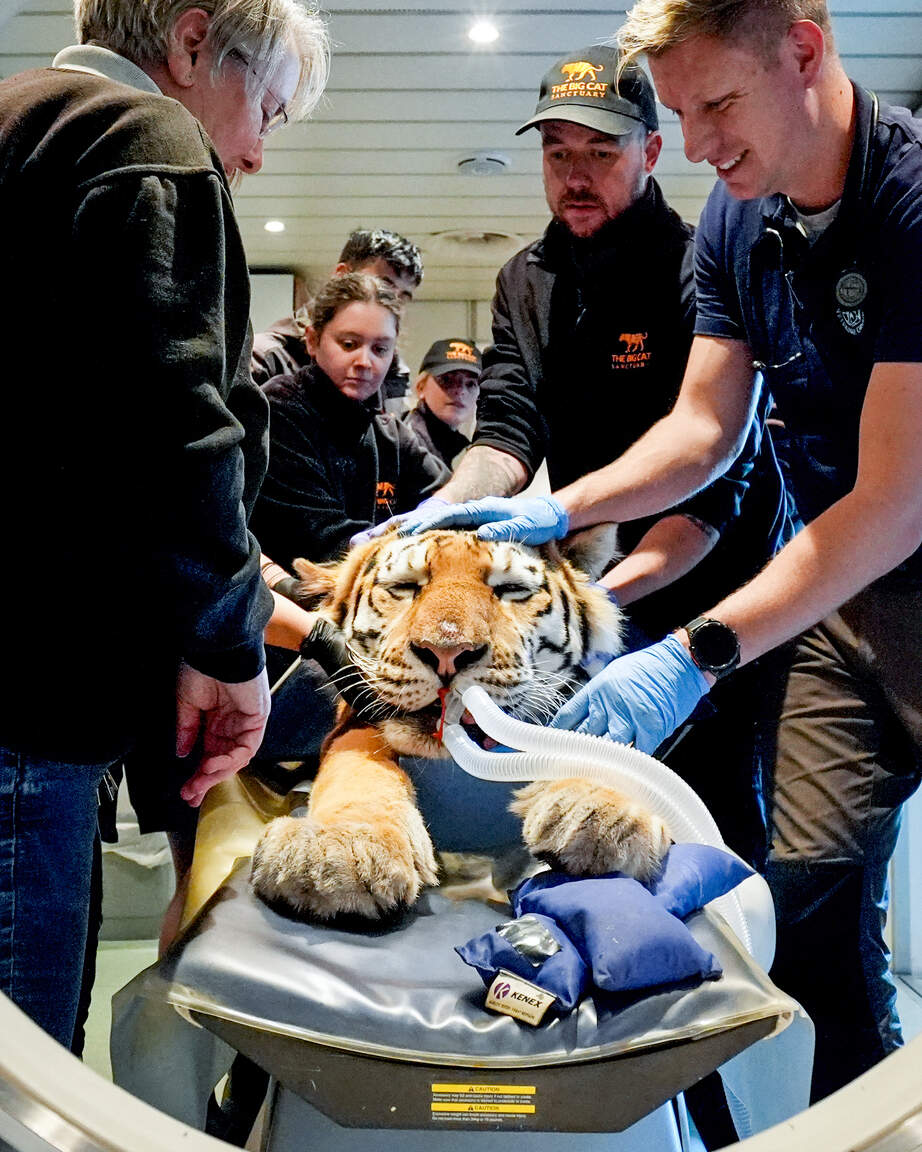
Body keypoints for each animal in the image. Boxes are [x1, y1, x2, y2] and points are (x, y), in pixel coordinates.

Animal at [250, 529, 670, 921]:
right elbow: (359, 769)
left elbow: (599, 747)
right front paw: (340, 850)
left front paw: (606, 813)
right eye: (405, 587)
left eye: (511, 590)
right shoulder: (357, 720)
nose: (447, 652)